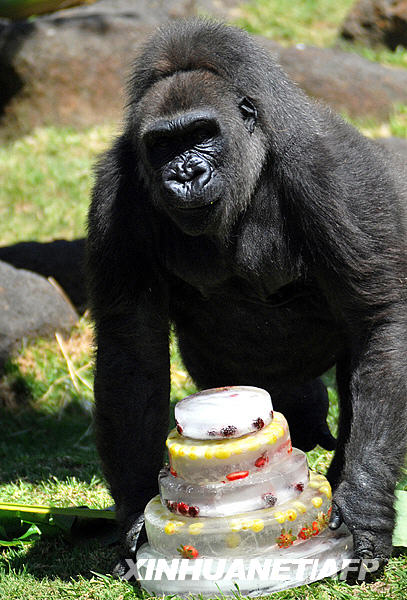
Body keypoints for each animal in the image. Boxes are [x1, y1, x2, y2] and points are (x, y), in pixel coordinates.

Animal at [87, 18, 407, 568]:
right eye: (163, 145)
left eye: (201, 134)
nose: (185, 174)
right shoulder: (116, 192)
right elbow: (129, 347)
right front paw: (134, 512)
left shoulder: (333, 170)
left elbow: (381, 317)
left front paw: (365, 505)